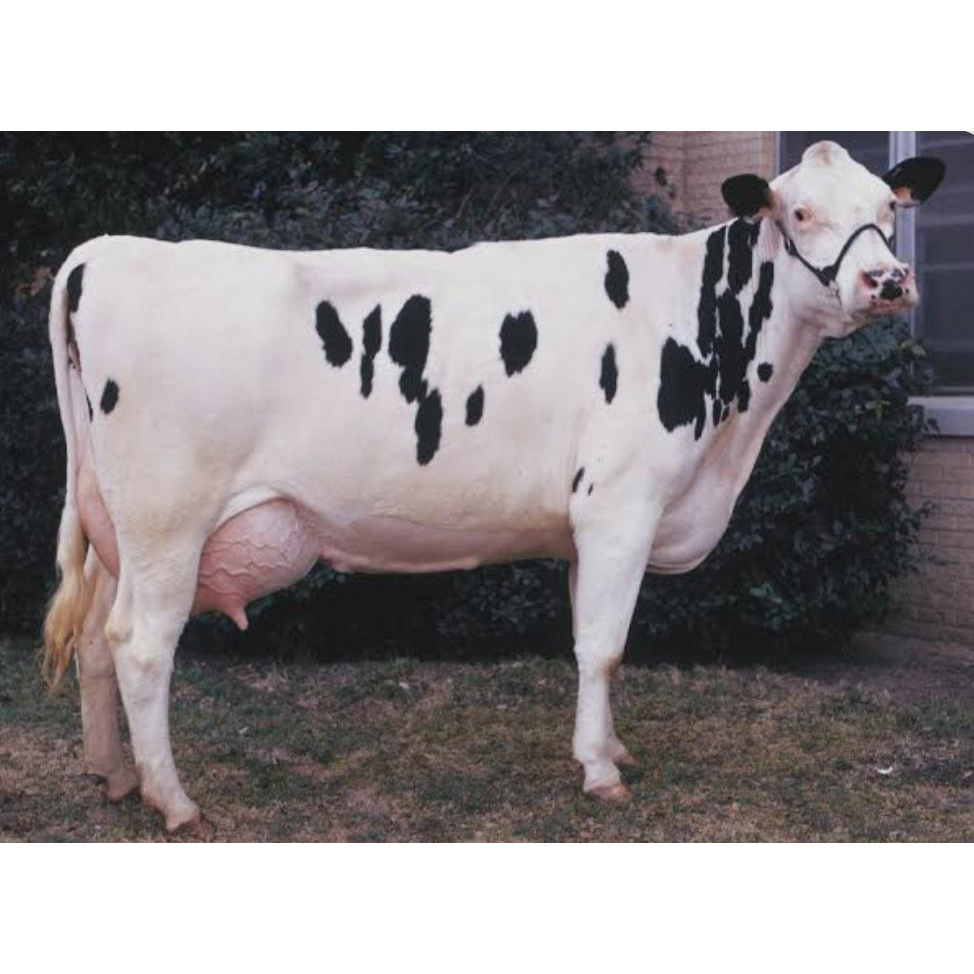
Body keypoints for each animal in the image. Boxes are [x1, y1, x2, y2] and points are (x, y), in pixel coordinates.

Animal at [42, 141, 945, 832]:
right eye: (800, 213)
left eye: (887, 206)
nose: (888, 281)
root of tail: (103, 250)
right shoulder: (623, 505)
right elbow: (606, 645)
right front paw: (601, 774)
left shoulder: (587, 525)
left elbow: (589, 643)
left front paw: (607, 748)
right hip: (169, 521)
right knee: (140, 646)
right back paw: (174, 801)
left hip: (118, 529)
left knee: (95, 638)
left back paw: (112, 776)